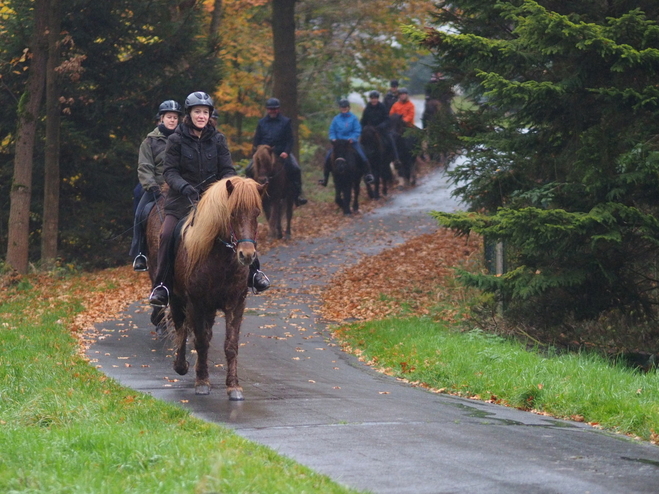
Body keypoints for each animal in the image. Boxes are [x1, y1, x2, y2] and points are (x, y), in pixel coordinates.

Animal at [158, 176, 266, 400]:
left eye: (256, 213)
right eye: (232, 213)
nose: (247, 255)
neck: (220, 259)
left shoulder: (236, 304)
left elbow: (230, 345)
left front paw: (234, 386)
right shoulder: (197, 303)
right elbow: (200, 340)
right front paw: (201, 382)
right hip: (177, 299)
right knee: (182, 328)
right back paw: (181, 365)